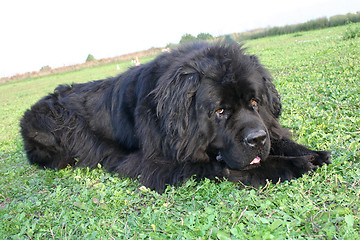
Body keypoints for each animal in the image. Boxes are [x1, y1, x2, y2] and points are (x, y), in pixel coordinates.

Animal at [19, 41, 330, 191]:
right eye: (220, 111)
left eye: (254, 102)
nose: (256, 139)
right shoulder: (157, 163)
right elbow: (226, 167)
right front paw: (291, 165)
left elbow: (280, 138)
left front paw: (310, 152)